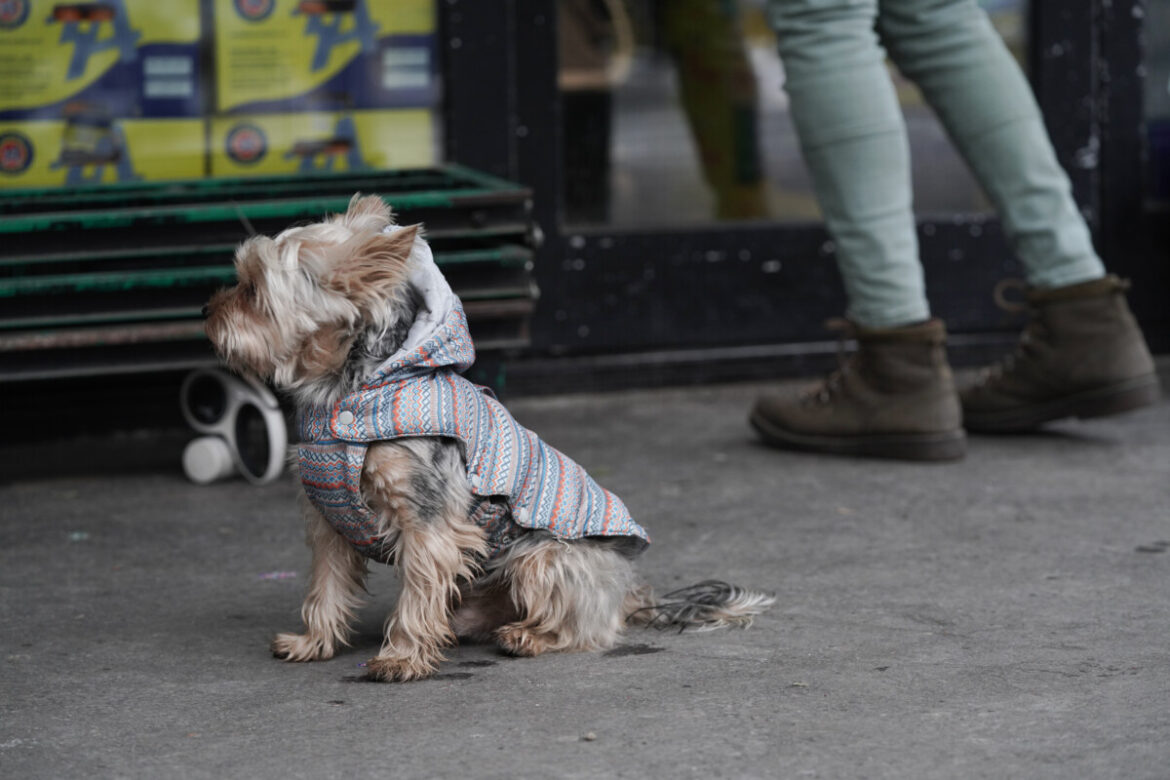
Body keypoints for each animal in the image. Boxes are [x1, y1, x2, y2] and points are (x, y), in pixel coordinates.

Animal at [205, 196, 772, 682]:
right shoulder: (329, 522)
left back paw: (528, 636)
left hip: (543, 558)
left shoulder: (428, 526)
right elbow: (325, 587)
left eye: (252, 290)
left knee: (585, 630)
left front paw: (402, 658)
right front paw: (313, 643)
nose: (208, 312)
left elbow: (416, 595)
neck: (348, 391)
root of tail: (627, 591)